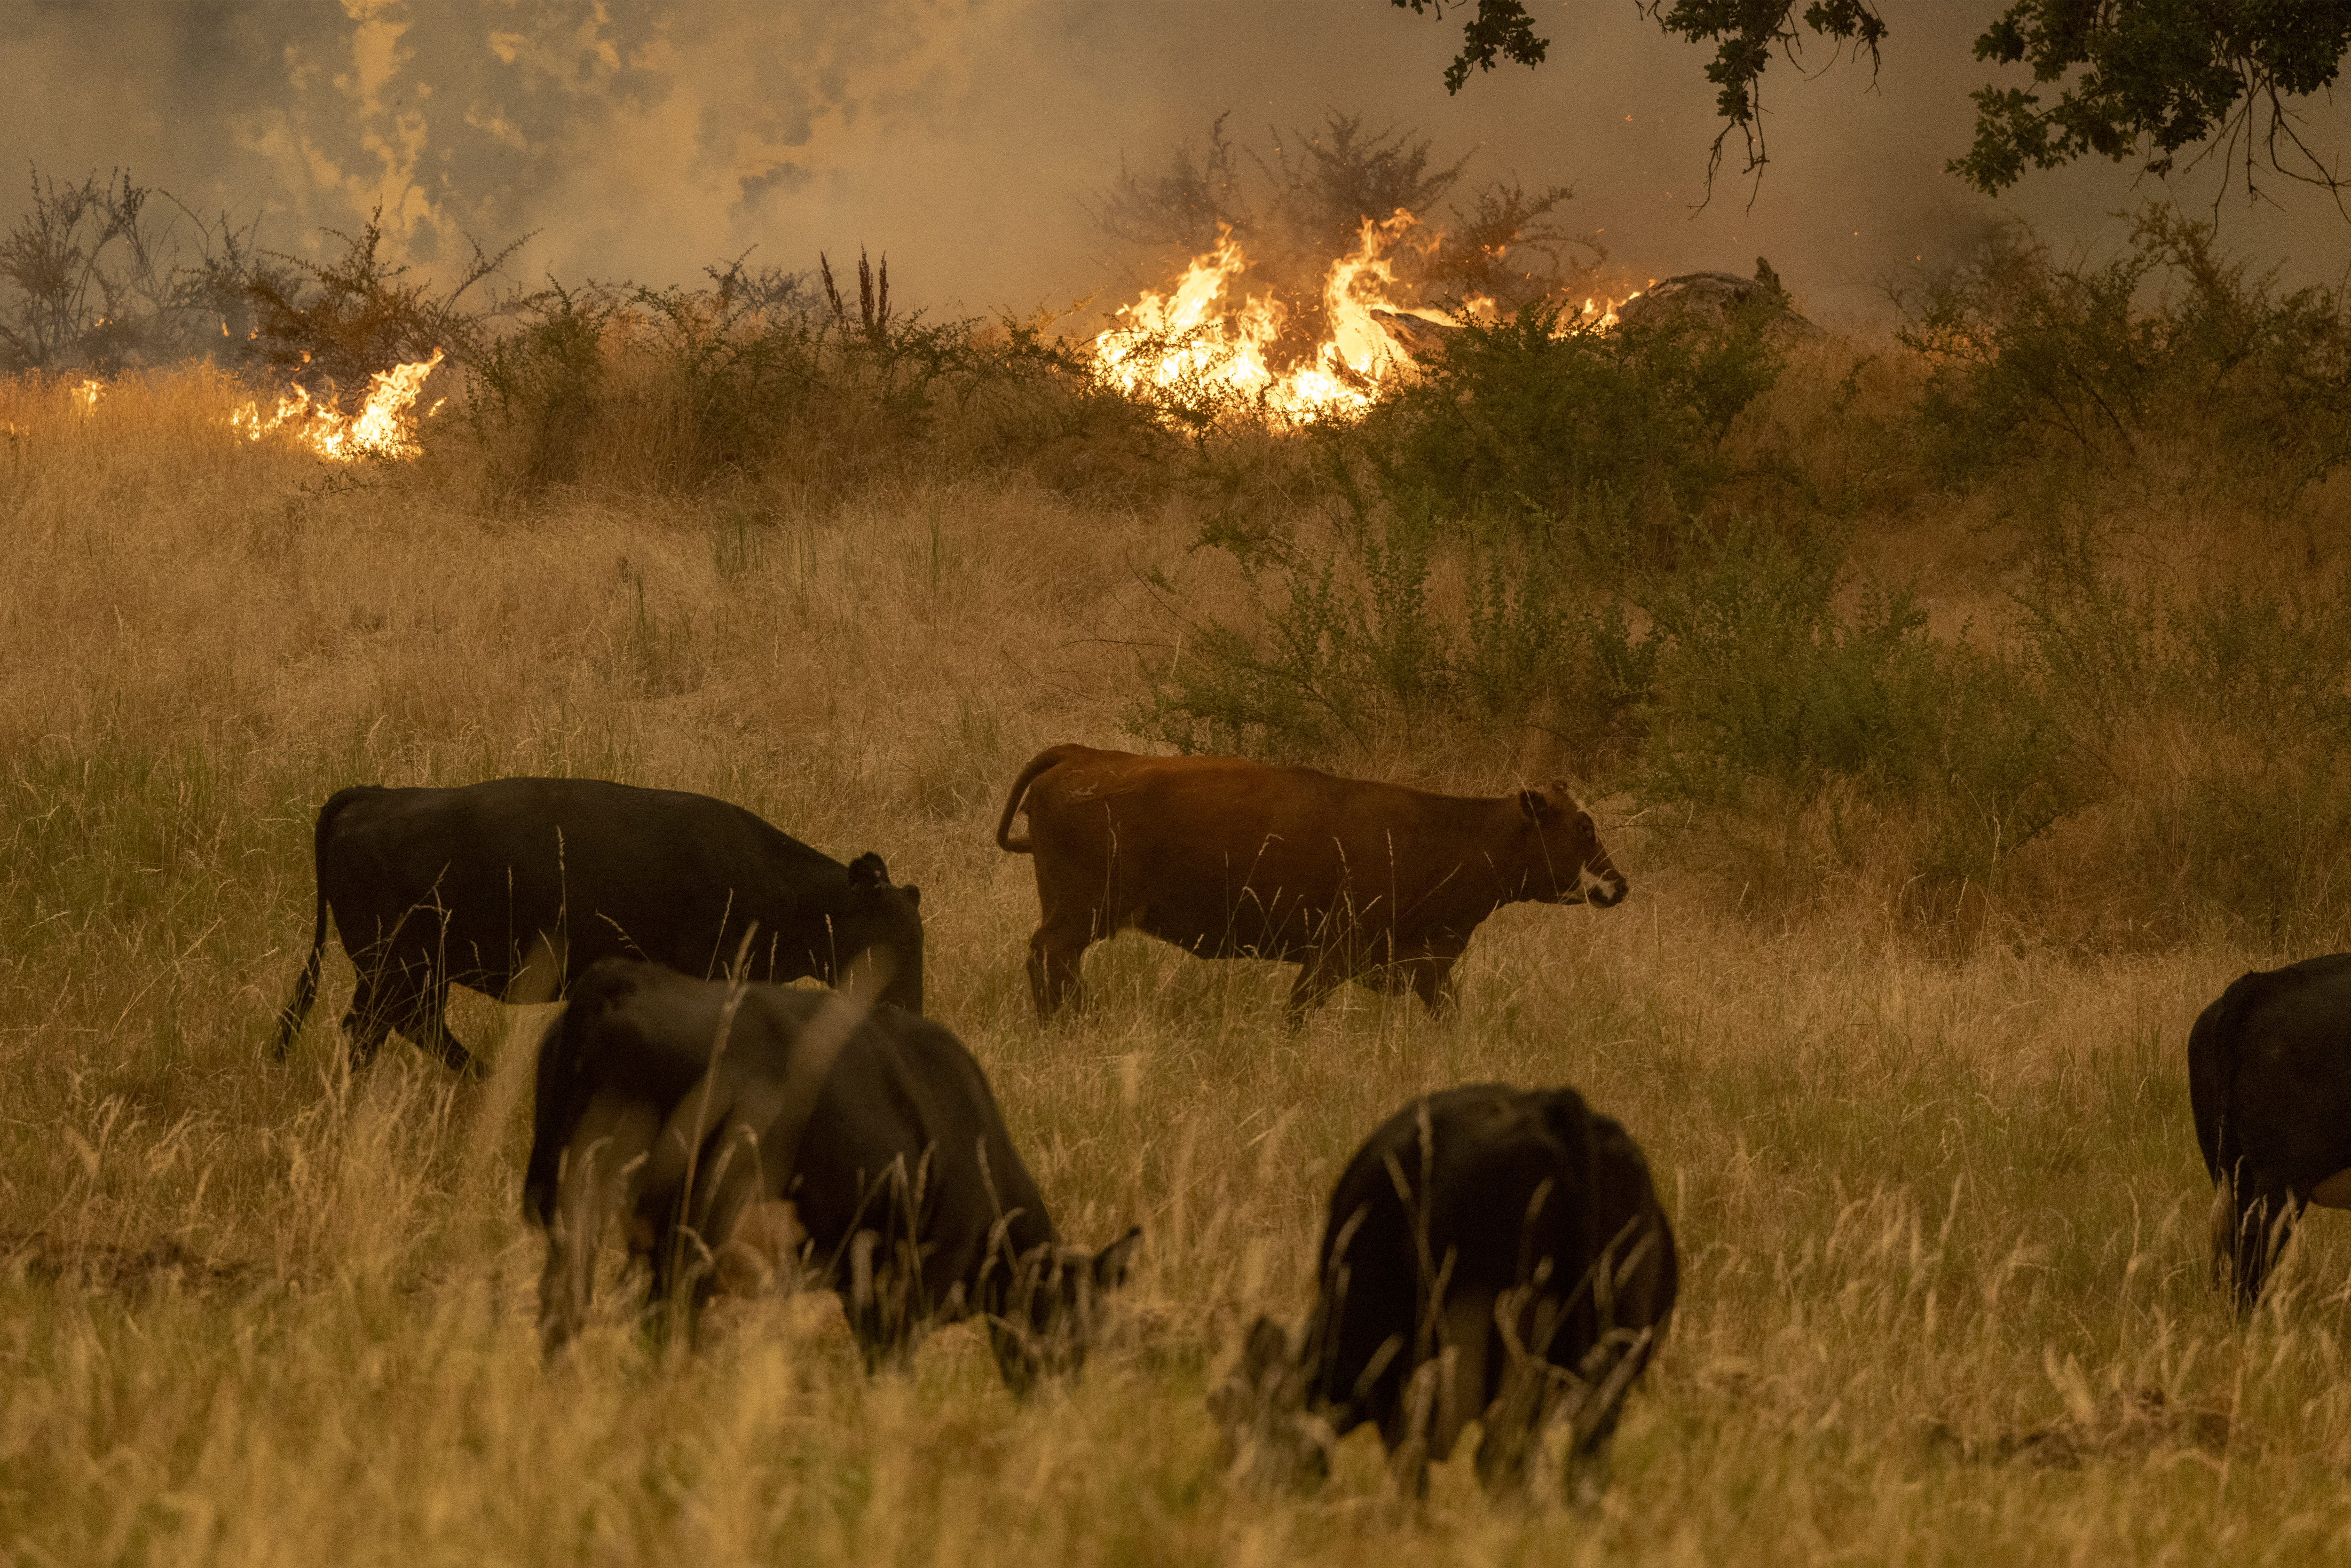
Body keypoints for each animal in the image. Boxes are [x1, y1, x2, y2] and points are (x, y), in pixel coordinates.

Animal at [273, 778, 924, 1074]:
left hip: (405, 975)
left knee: (397, 1030)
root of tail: (377, 794)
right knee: (381, 1032)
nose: (909, 1013)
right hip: (399, 971)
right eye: (892, 941)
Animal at [525, 957, 1141, 1388]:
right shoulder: (918, 1279)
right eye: (1069, 1322)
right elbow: (891, 1369)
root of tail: (623, 977)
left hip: (577, 1196)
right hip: (691, 1218)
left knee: (564, 1304)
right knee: (666, 1317)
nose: (1057, 1395)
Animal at [993, 745, 1627, 1023]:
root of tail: (1082, 755)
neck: (1442, 837)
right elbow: (1296, 1013)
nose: (1618, 884)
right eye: (1583, 826)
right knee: (1049, 958)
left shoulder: (1424, 963)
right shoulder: (1331, 955)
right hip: (1079, 915)